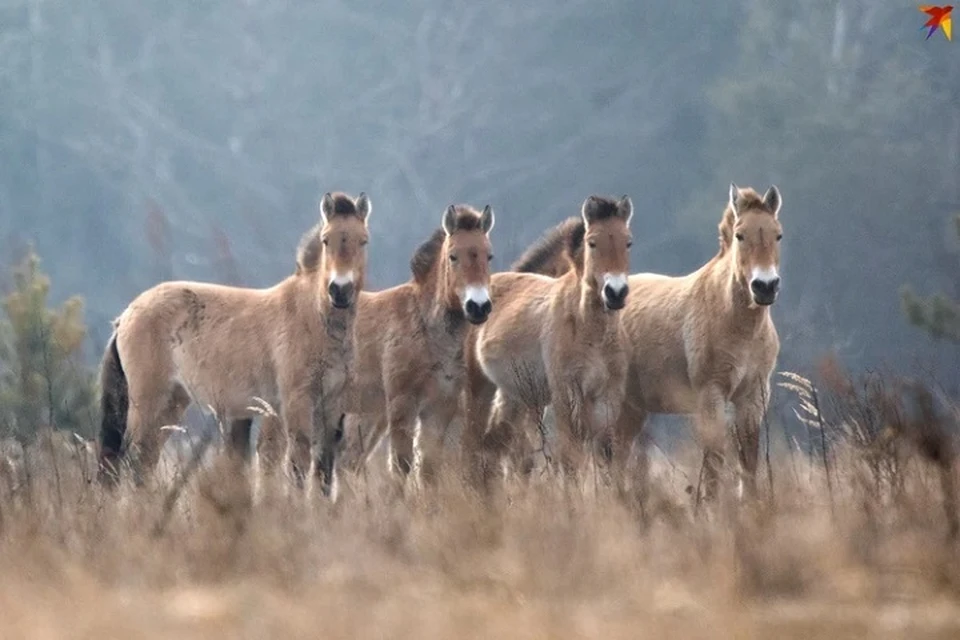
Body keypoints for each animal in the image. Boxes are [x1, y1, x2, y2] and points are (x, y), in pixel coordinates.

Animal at [95, 190, 370, 496]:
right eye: (325, 239)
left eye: (363, 240)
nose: (340, 290)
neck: (313, 316)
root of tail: (127, 314)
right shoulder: (296, 402)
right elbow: (297, 465)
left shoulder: (330, 406)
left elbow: (322, 470)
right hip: (147, 401)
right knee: (131, 460)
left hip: (173, 402)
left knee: (143, 463)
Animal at [258, 202, 496, 488]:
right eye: (453, 256)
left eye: (489, 256)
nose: (478, 306)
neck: (425, 327)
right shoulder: (402, 403)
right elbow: (402, 465)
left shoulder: (440, 406)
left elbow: (428, 470)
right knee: (272, 456)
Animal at [466, 195, 636, 490]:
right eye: (592, 243)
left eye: (628, 242)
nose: (615, 293)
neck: (590, 333)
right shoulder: (564, 393)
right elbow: (569, 457)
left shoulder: (608, 395)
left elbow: (606, 454)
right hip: (480, 389)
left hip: (515, 396)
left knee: (501, 445)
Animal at [510, 184, 780, 504]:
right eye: (740, 235)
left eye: (778, 234)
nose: (764, 287)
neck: (733, 321)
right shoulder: (711, 395)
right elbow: (714, 462)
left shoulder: (752, 398)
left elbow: (748, 461)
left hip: (629, 412)